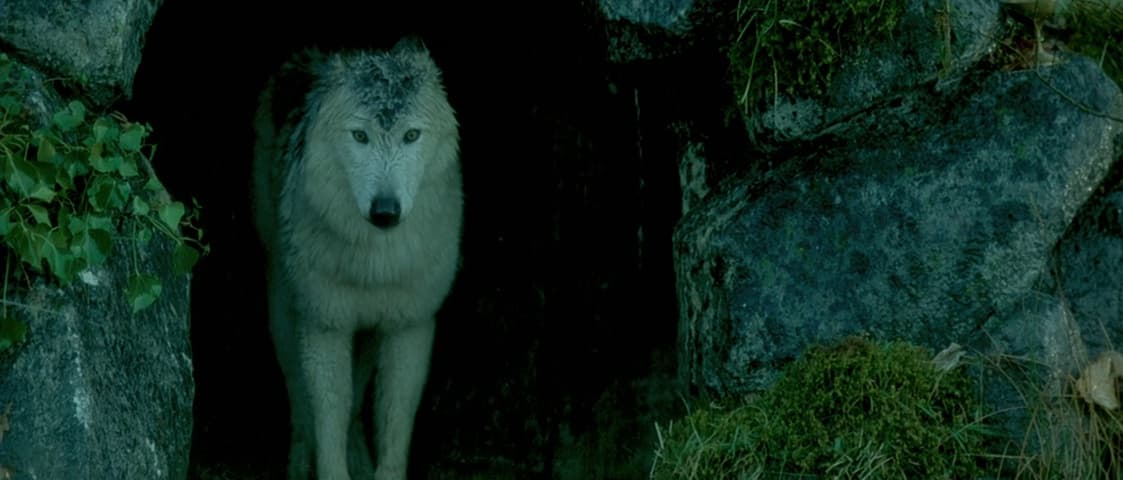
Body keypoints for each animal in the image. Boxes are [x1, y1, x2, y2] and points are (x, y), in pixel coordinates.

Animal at [252, 37, 462, 480]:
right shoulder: (324, 326)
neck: (375, 266)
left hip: (368, 333)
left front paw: (374, 467)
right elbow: (327, 423)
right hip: (284, 309)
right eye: (360, 136)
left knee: (354, 403)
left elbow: (393, 432)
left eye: (411, 135)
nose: (385, 211)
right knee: (300, 399)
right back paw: (299, 463)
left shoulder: (411, 326)